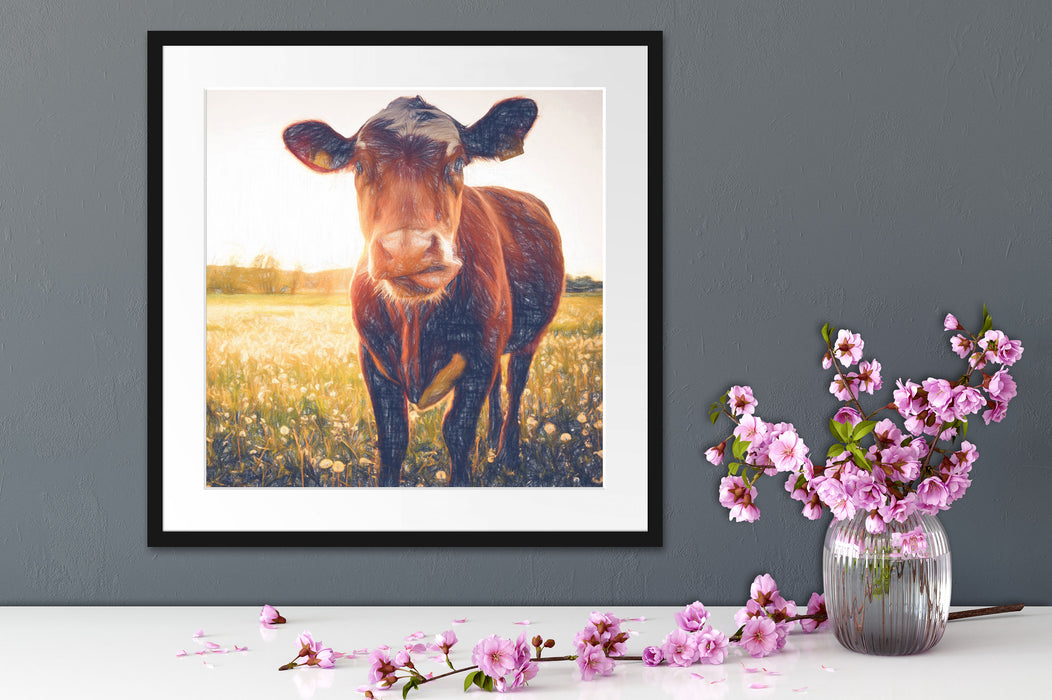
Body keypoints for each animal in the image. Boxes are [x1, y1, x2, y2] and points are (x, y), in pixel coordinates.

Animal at [284, 94, 563, 486]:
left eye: (458, 162)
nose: (408, 250)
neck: (415, 322)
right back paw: (492, 444)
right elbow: (392, 436)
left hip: (528, 338)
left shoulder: (481, 355)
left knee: (515, 385)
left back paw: (508, 454)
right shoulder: (372, 357)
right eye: (359, 167)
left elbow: (458, 432)